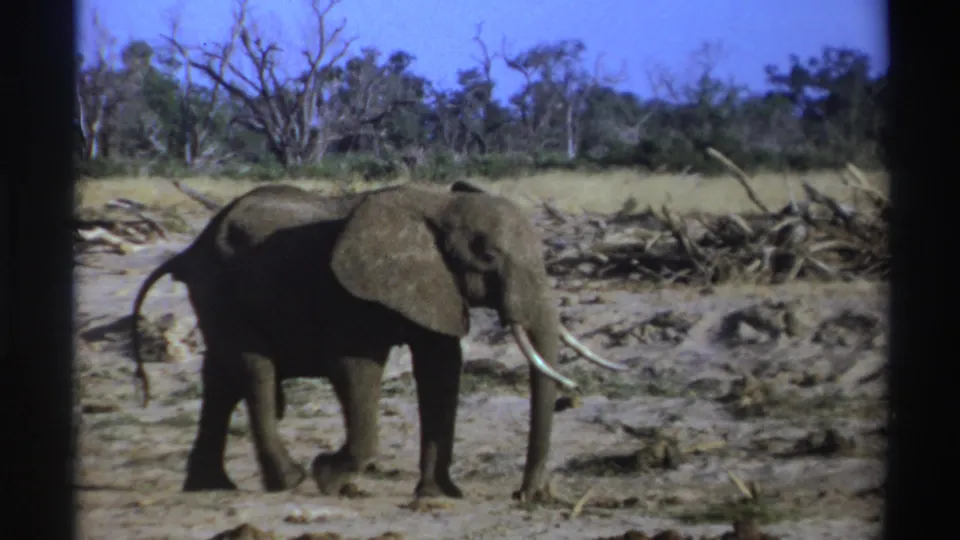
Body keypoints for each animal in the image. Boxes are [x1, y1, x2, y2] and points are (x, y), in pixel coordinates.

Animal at [130, 180, 627, 502]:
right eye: (487, 257)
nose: (525, 496)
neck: (439, 205)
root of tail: (187, 250)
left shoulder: (435, 287)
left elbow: (441, 368)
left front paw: (438, 495)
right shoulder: (351, 295)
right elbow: (357, 367)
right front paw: (329, 478)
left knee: (221, 378)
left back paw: (213, 486)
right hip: (220, 288)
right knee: (254, 369)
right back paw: (289, 481)